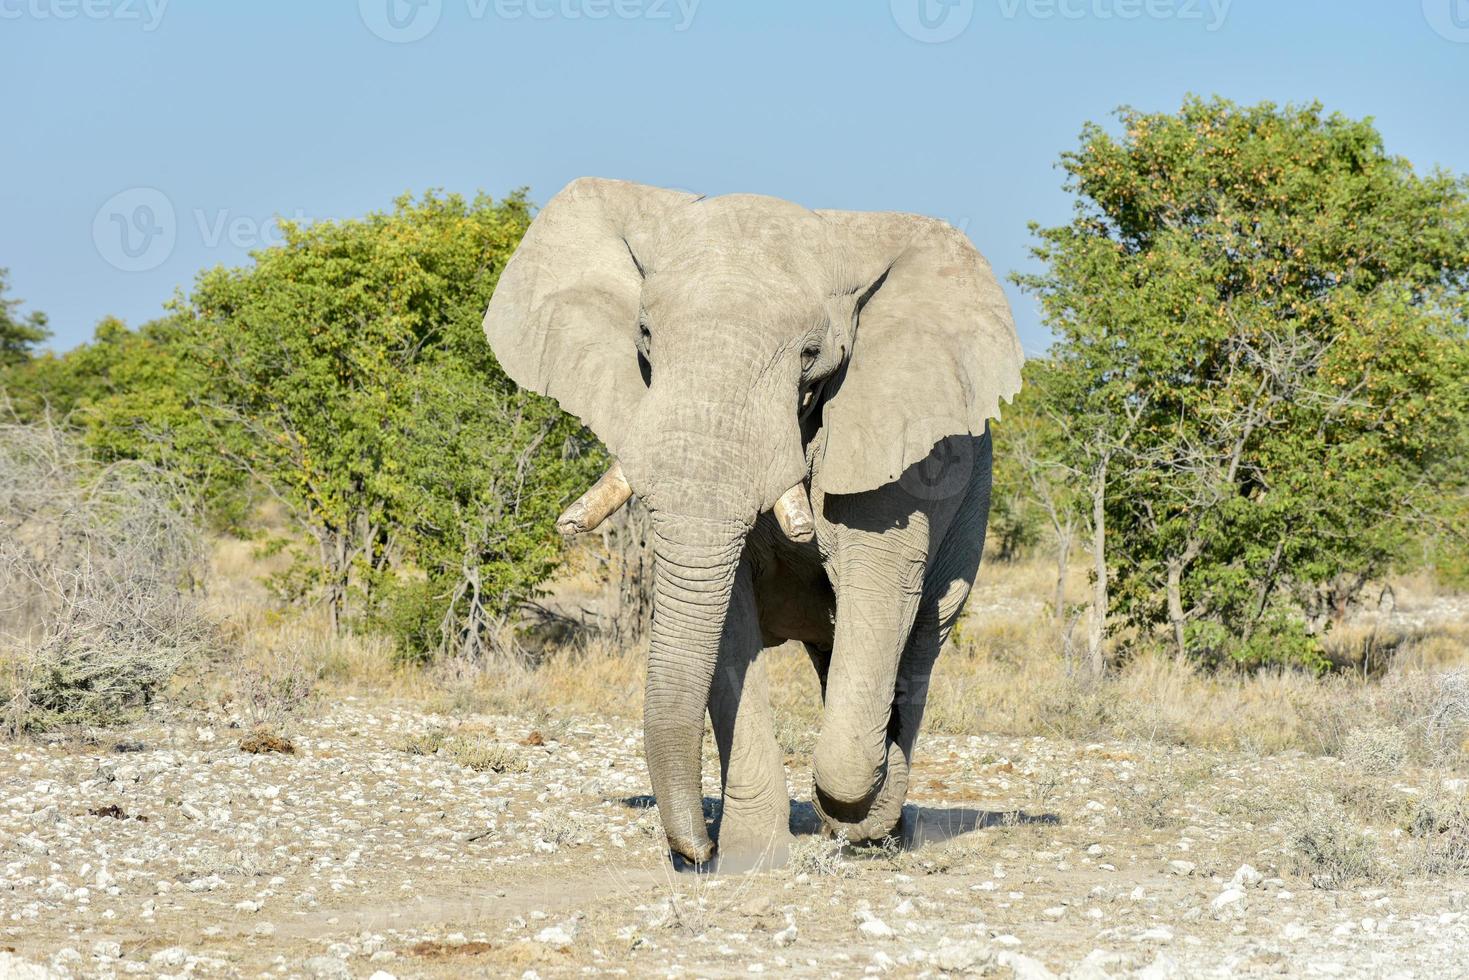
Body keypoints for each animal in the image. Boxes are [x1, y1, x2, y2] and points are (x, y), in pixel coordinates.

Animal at [481, 178, 1022, 863]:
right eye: (646, 336)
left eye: (812, 355)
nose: (695, 851)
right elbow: (725, 616)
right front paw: (750, 859)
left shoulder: (891, 441)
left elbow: (878, 594)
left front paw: (853, 817)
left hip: (973, 499)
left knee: (918, 641)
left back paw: (879, 831)